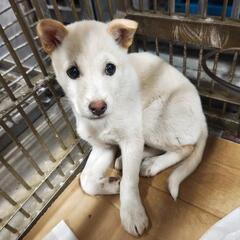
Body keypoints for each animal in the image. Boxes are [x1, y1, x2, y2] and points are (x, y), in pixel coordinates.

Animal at [37, 18, 206, 236]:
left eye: (110, 69)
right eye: (72, 72)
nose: (98, 107)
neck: (101, 122)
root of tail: (202, 118)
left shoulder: (131, 139)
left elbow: (129, 181)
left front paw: (132, 213)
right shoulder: (103, 148)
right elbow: (85, 179)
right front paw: (110, 184)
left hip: (150, 119)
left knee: (186, 148)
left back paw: (153, 164)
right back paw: (131, 161)